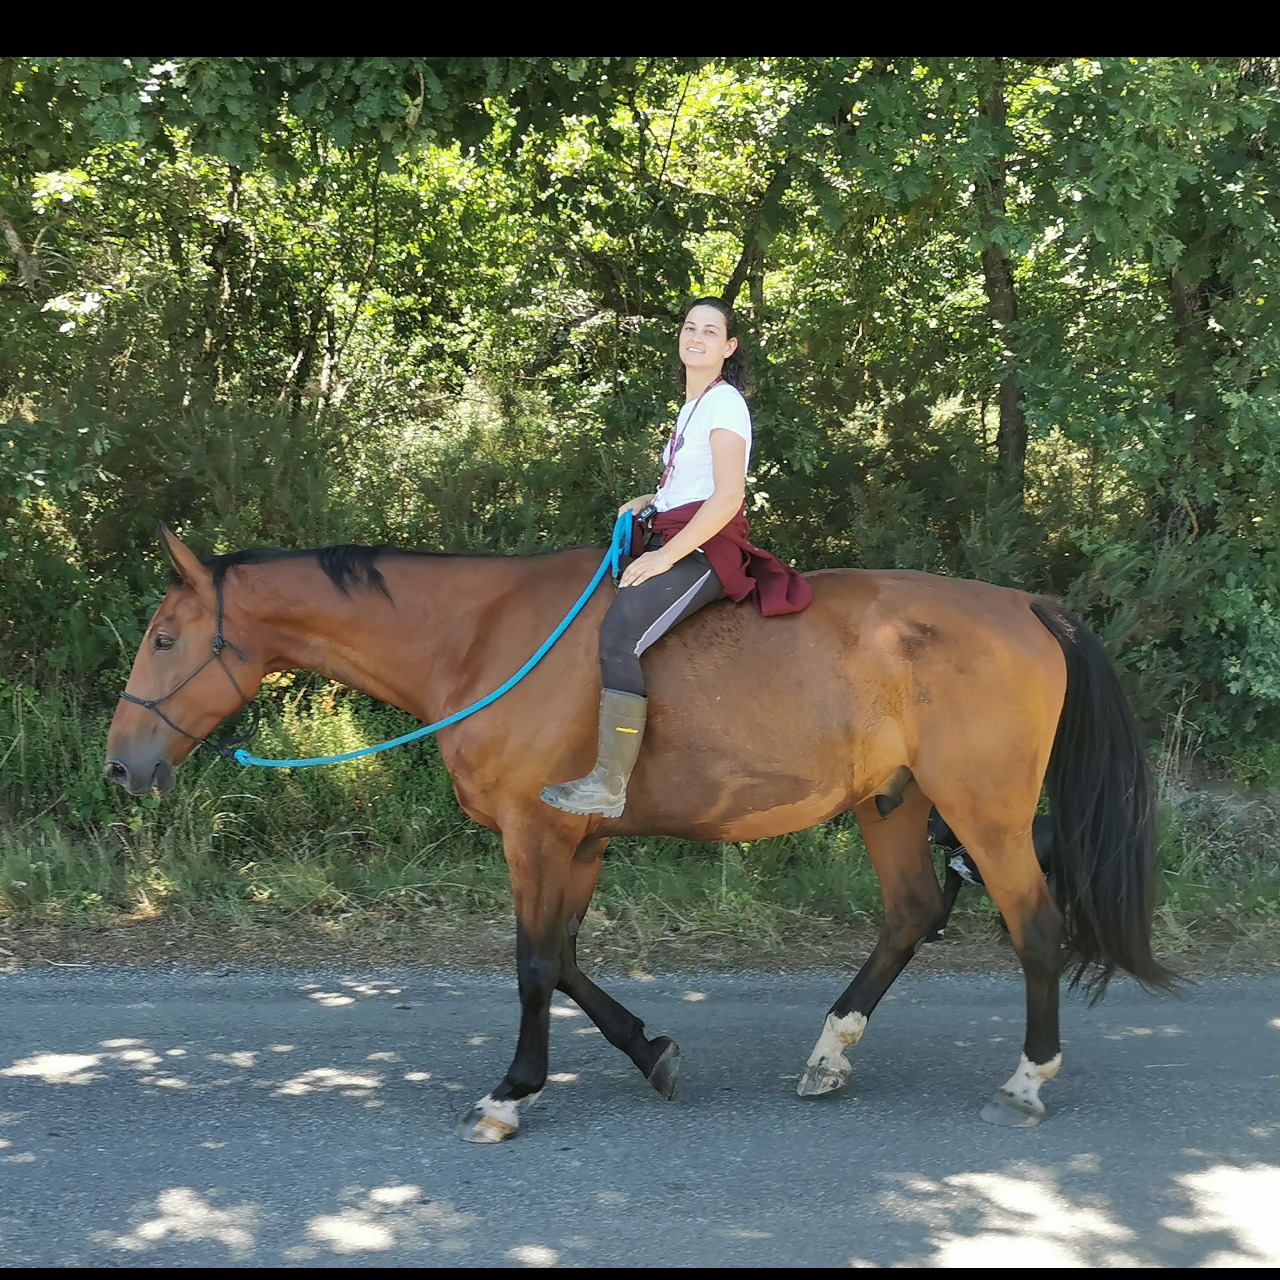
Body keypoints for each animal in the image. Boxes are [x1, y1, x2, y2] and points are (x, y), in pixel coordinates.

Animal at [105, 524, 1177, 1142]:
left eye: (164, 637)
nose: (120, 766)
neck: (480, 639)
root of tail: (1028, 607)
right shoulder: (578, 840)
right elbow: (571, 960)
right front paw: (650, 1050)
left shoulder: (535, 834)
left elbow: (537, 963)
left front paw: (512, 1093)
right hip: (893, 801)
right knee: (912, 913)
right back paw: (830, 1054)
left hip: (984, 811)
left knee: (1034, 929)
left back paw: (1027, 1081)